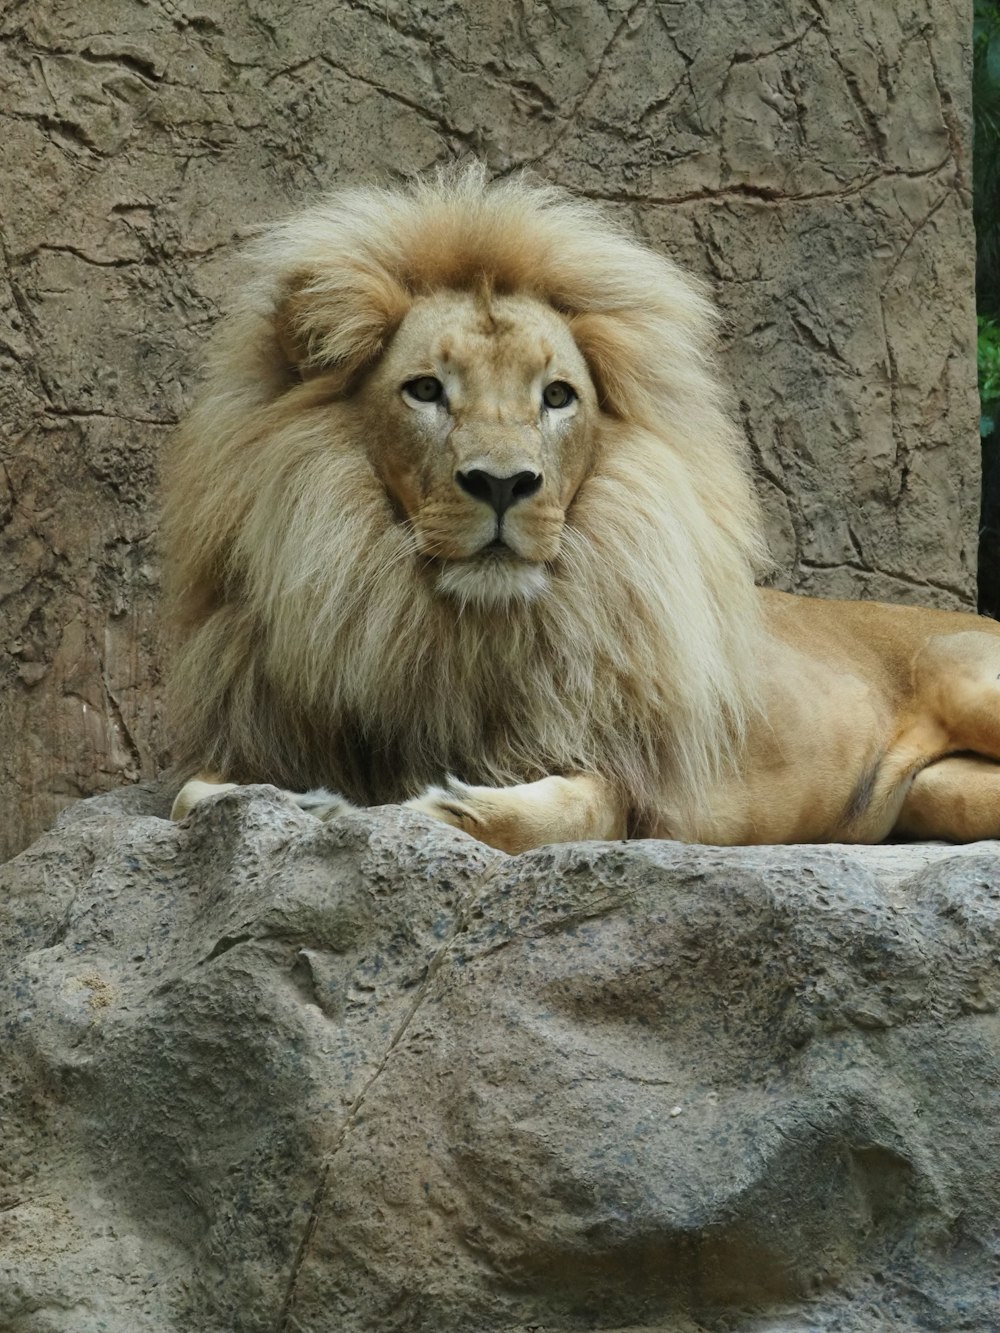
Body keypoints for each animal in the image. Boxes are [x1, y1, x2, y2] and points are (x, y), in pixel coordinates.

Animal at [164, 169, 1000, 853]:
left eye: (558, 396)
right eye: (426, 389)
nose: (503, 484)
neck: (447, 629)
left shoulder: (623, 779)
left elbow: (554, 812)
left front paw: (423, 805)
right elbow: (192, 796)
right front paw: (308, 799)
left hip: (965, 680)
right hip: (936, 793)